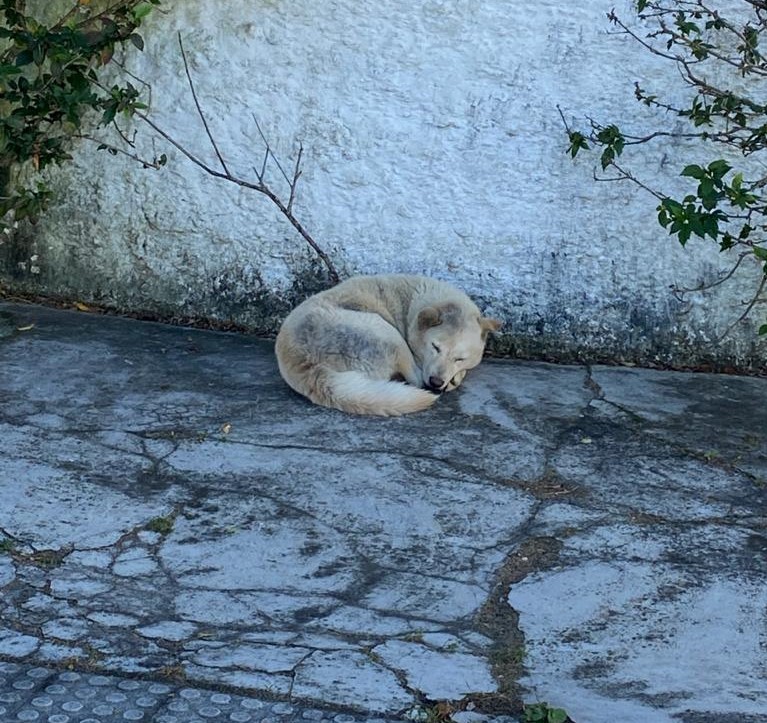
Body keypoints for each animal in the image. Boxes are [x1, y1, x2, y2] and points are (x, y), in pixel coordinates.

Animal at [275, 274, 501, 416]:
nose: (436, 382)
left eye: (459, 358)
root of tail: (305, 364)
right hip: (385, 332)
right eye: (435, 347)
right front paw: (455, 378)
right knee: (415, 379)